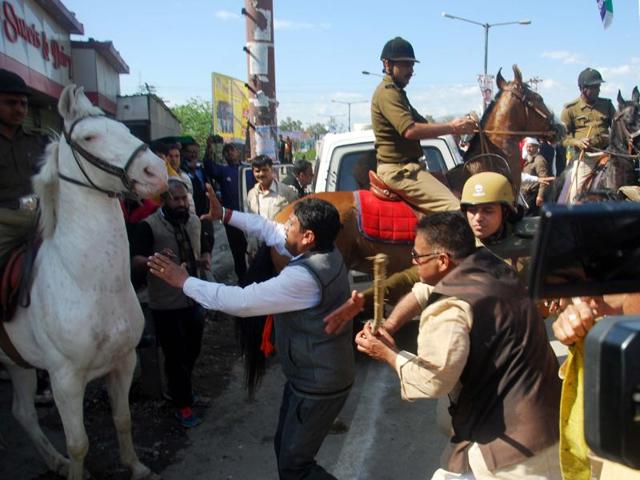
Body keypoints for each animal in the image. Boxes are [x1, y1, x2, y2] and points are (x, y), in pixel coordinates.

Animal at [0, 84, 168, 478]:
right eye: (90, 137)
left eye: (124, 128)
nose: (157, 171)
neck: (90, 284)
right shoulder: (64, 379)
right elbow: (78, 443)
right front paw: (77, 466)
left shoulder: (124, 362)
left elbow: (123, 419)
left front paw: (136, 466)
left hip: (17, 363)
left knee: (23, 413)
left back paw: (55, 461)